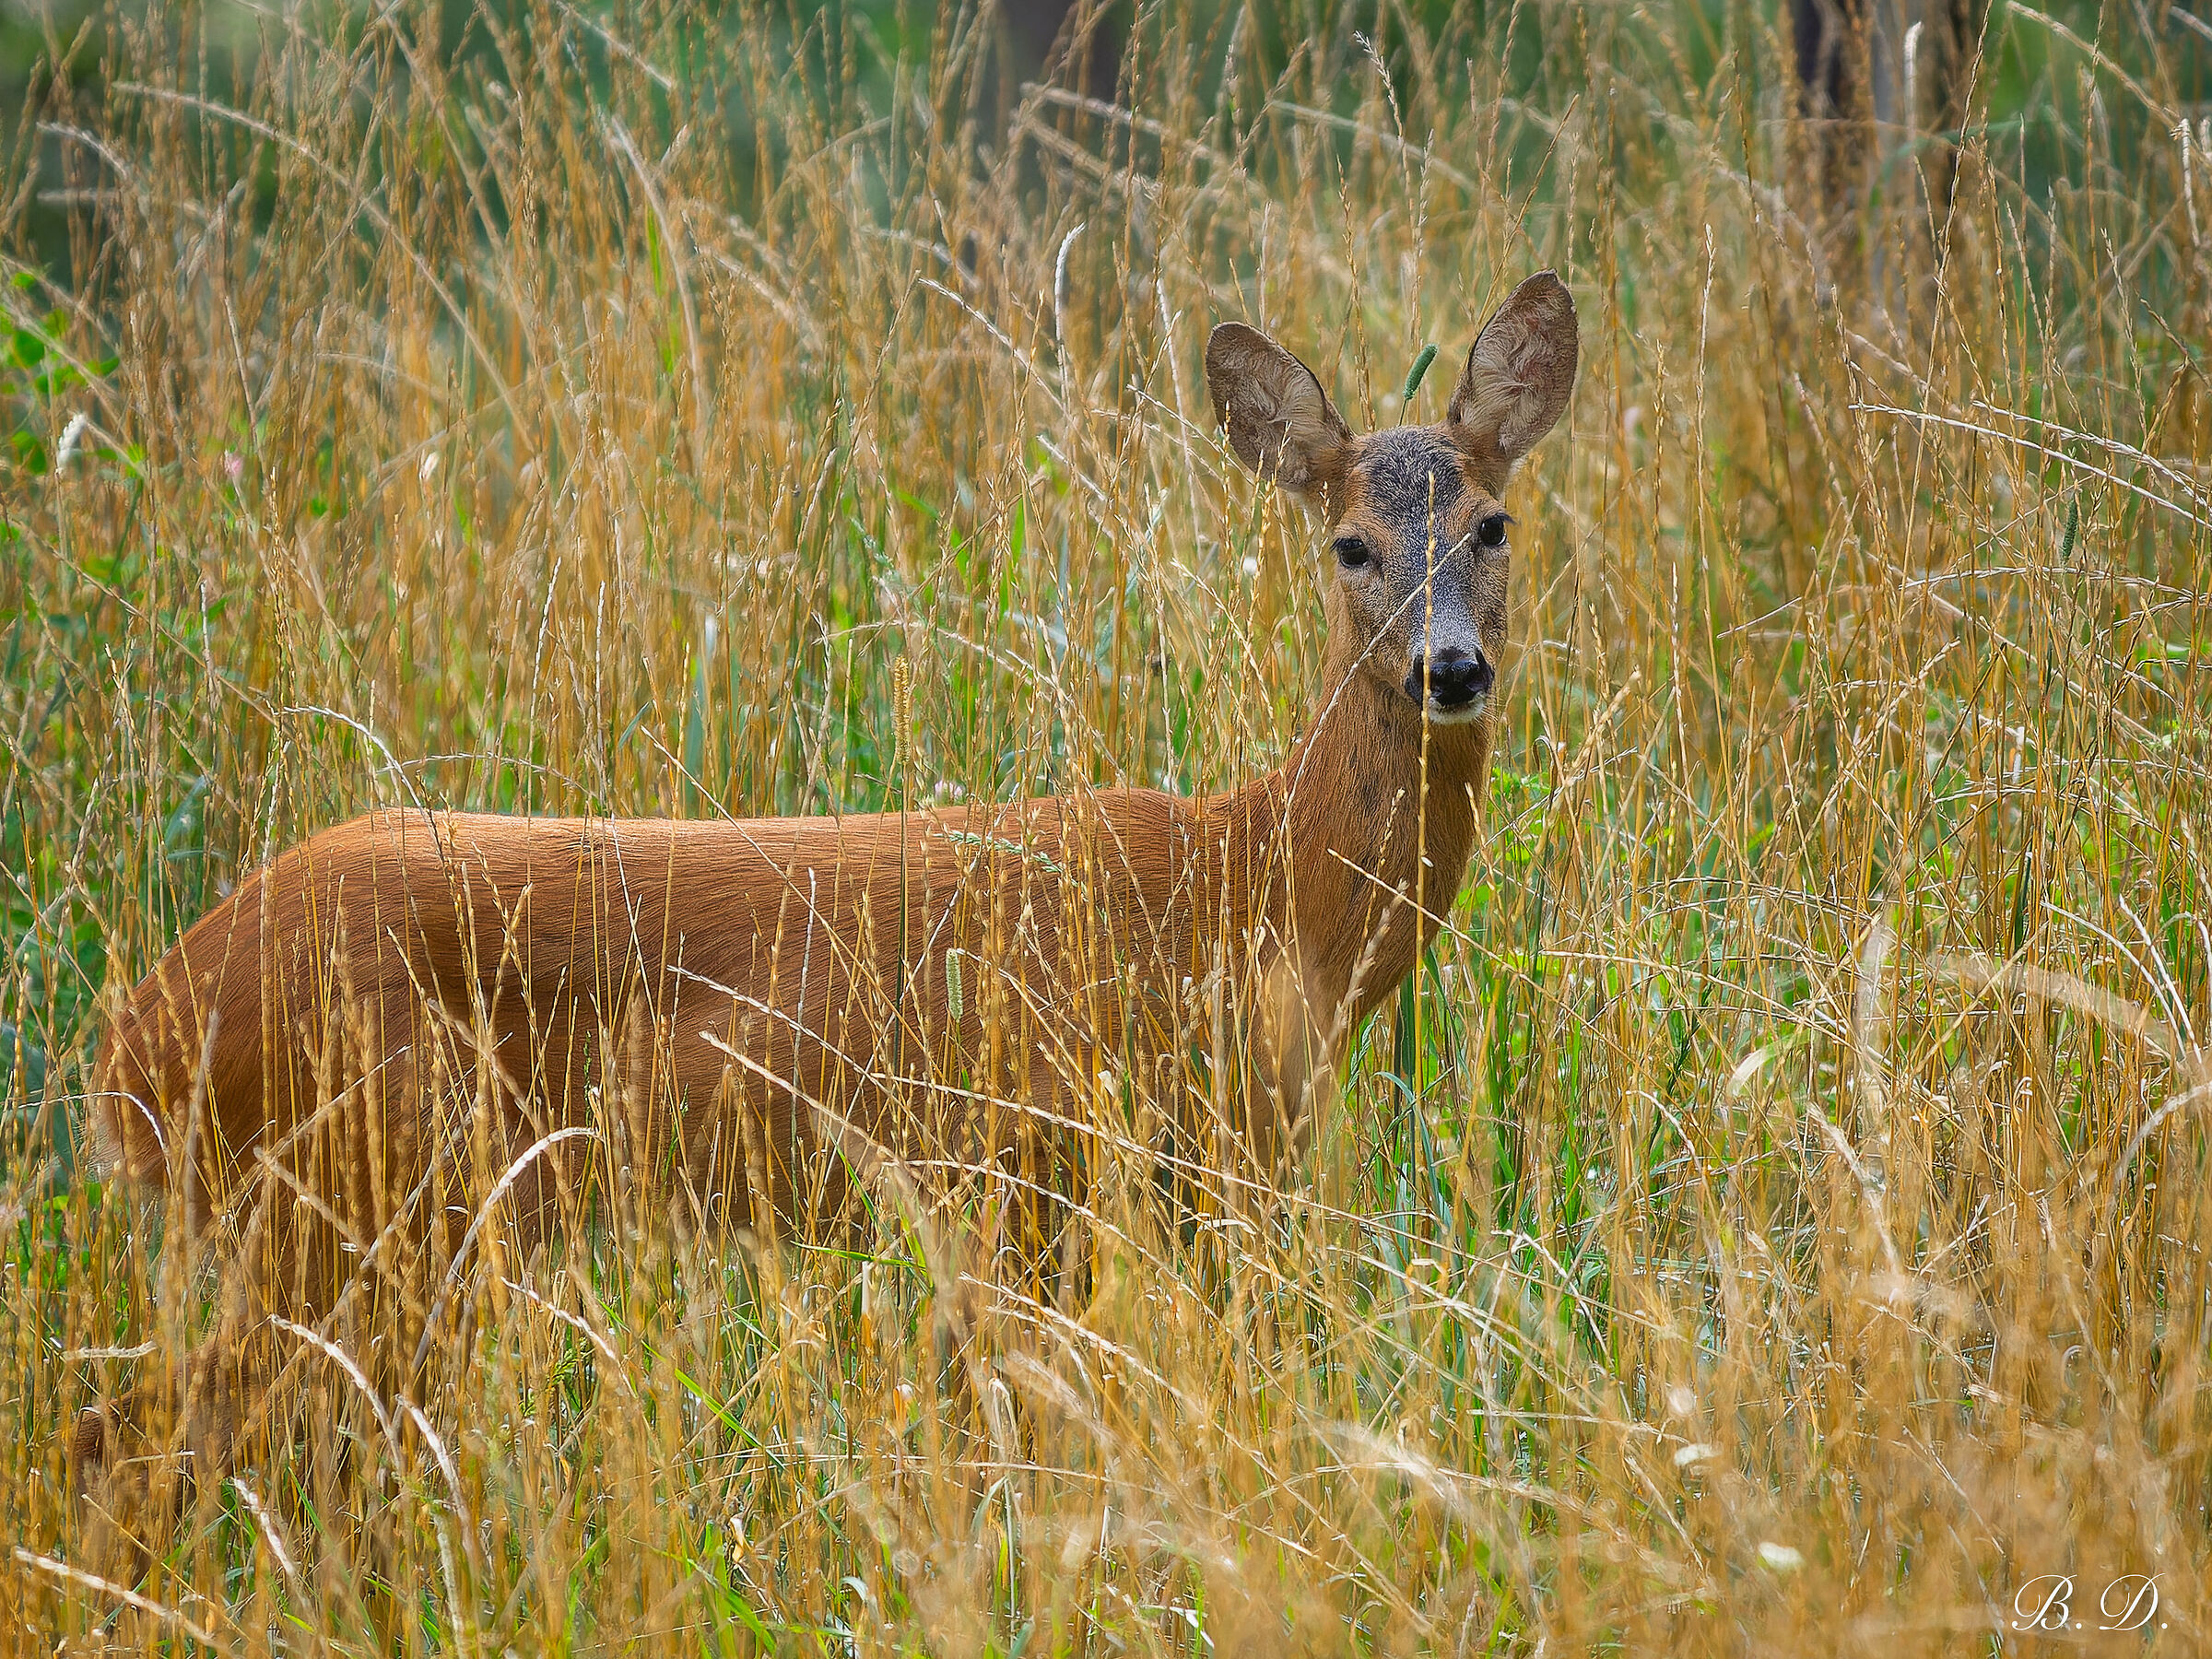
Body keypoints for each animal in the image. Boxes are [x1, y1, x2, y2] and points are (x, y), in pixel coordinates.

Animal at [71, 271, 1577, 1569]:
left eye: (1494, 524)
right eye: (1351, 545)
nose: (1451, 668)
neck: (1254, 893)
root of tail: (134, 1034)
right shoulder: (1045, 1163)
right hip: (356, 1191)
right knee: (147, 1440)